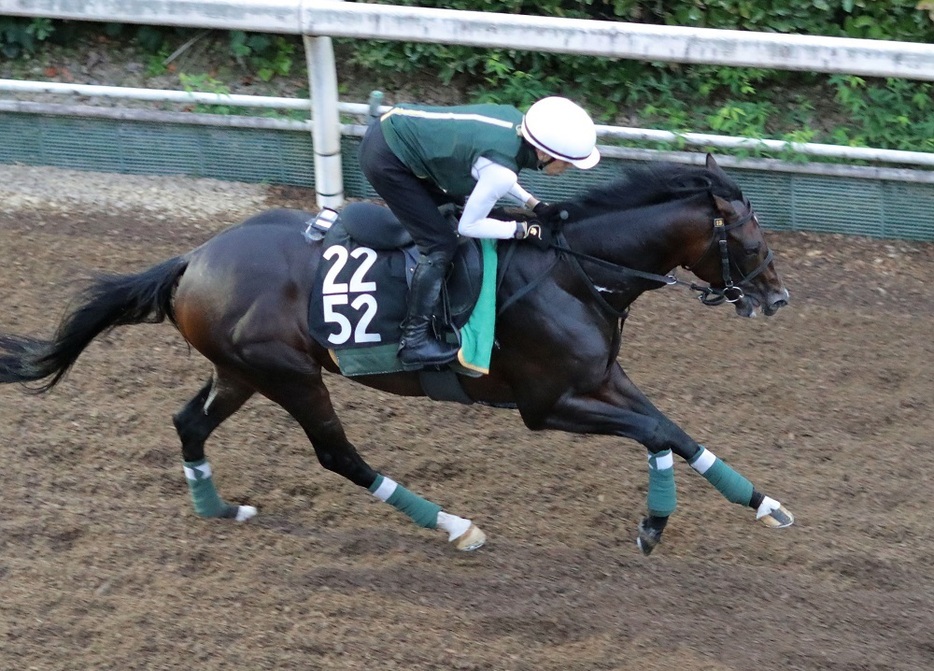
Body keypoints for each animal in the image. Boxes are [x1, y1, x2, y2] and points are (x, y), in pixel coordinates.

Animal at [0, 154, 796, 556]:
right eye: (751, 238)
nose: (777, 297)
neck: (571, 269)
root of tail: (194, 258)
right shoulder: (546, 404)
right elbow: (656, 430)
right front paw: (655, 524)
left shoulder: (601, 377)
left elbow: (672, 429)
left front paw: (765, 504)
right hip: (290, 374)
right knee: (337, 455)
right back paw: (451, 524)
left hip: (241, 369)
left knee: (188, 422)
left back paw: (218, 506)